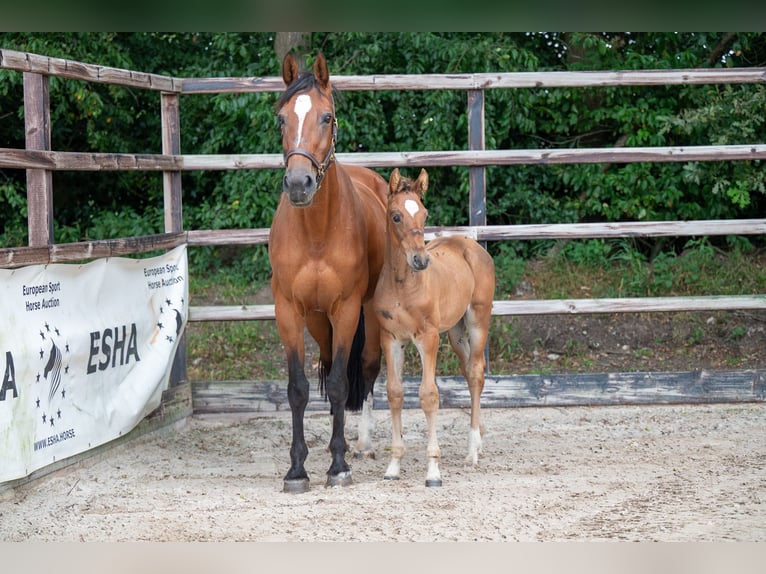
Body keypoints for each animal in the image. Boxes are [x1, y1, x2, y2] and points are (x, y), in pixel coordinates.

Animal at [270, 54, 390, 496]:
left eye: (327, 117)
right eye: (282, 118)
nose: (298, 183)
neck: (317, 233)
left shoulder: (347, 309)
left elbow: (340, 383)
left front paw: (338, 466)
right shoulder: (289, 311)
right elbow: (298, 388)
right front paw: (297, 469)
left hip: (368, 315)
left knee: (369, 370)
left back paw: (364, 444)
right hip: (318, 321)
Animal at [374, 169, 498, 488]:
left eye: (425, 213)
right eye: (396, 216)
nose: (421, 260)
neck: (402, 285)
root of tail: (472, 245)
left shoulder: (427, 338)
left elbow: (429, 395)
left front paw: (433, 471)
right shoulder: (391, 339)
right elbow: (394, 393)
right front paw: (393, 466)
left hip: (478, 320)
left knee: (477, 372)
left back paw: (472, 452)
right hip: (455, 332)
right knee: (468, 372)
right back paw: (478, 442)